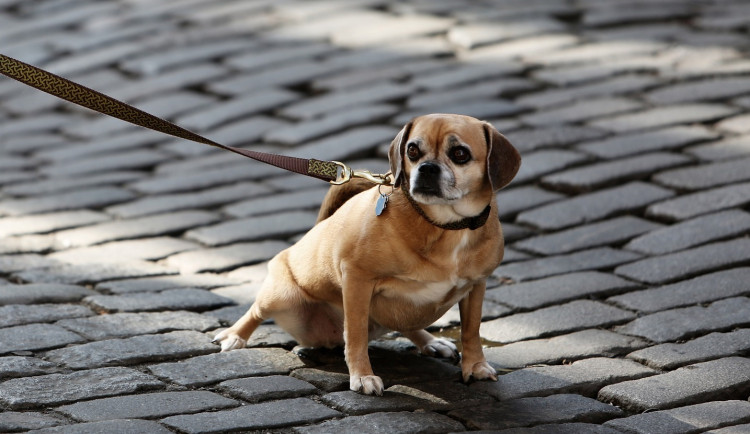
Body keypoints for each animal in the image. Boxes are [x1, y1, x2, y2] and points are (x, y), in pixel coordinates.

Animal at [213, 113, 524, 396]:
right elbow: (356, 335)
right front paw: (362, 376)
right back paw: (234, 336)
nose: (427, 168)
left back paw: (430, 342)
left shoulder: (477, 286)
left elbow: (471, 330)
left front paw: (475, 366)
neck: (444, 226)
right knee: (255, 311)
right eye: (413, 151)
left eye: (460, 154)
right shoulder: (357, 279)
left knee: (407, 323)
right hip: (280, 297)